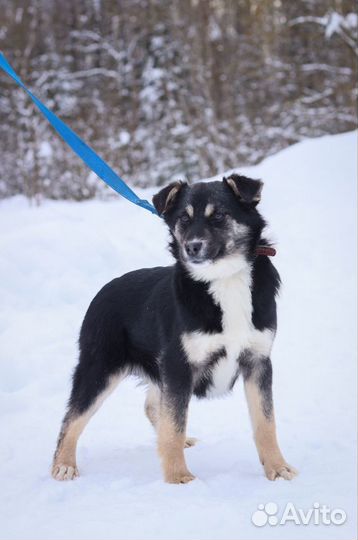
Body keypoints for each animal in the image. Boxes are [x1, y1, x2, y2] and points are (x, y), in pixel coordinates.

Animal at [51, 175, 296, 484]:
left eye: (219, 215)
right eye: (183, 218)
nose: (192, 246)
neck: (223, 278)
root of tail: (105, 289)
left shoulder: (258, 361)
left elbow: (266, 422)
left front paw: (277, 468)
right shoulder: (179, 365)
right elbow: (173, 426)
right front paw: (178, 477)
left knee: (152, 405)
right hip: (100, 368)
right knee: (72, 418)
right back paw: (63, 464)